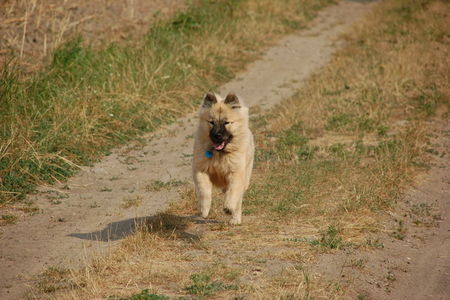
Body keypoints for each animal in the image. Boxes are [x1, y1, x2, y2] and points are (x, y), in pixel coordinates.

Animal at [192, 92, 255, 224]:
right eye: (212, 122)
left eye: (226, 123)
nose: (217, 135)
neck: (219, 154)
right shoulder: (200, 171)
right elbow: (204, 191)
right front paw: (204, 210)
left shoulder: (236, 173)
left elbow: (233, 192)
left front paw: (228, 207)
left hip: (245, 179)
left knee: (238, 199)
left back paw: (235, 218)